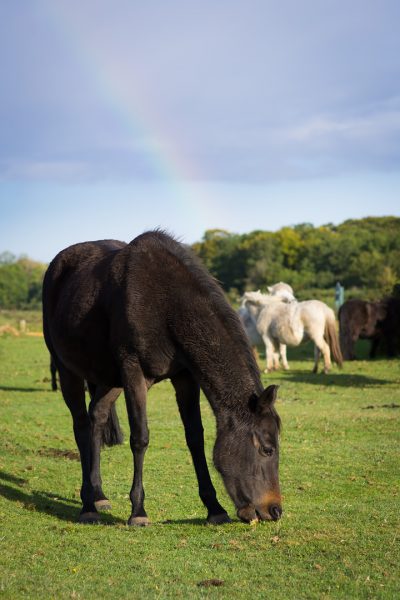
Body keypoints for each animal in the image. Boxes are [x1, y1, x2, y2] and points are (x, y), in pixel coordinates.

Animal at [42, 232, 282, 528]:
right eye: (267, 450)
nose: (275, 510)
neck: (166, 304)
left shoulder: (184, 377)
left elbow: (195, 438)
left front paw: (214, 508)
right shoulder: (134, 374)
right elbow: (140, 438)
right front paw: (138, 511)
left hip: (110, 379)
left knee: (96, 416)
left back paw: (99, 495)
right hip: (68, 370)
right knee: (81, 427)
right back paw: (88, 505)